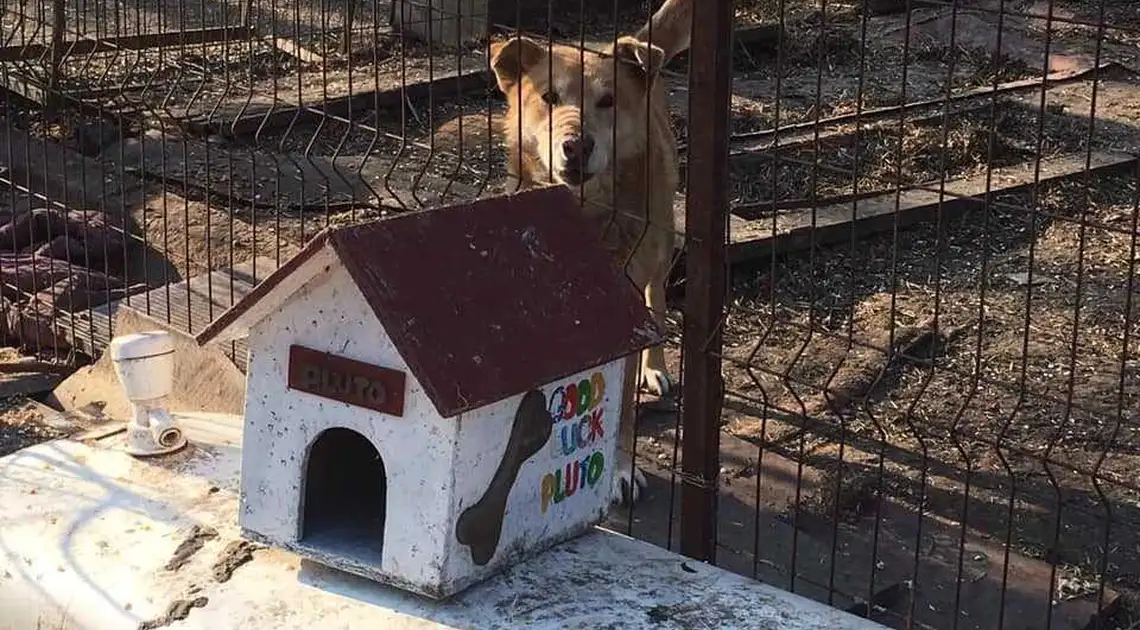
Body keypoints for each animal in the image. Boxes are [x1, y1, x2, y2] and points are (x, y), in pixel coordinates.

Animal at [487, 0, 693, 503]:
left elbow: (621, 409)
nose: (576, 146)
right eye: (549, 97)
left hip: (661, 244)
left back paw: (655, 367)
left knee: (658, 300)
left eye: (608, 101)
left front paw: (618, 467)